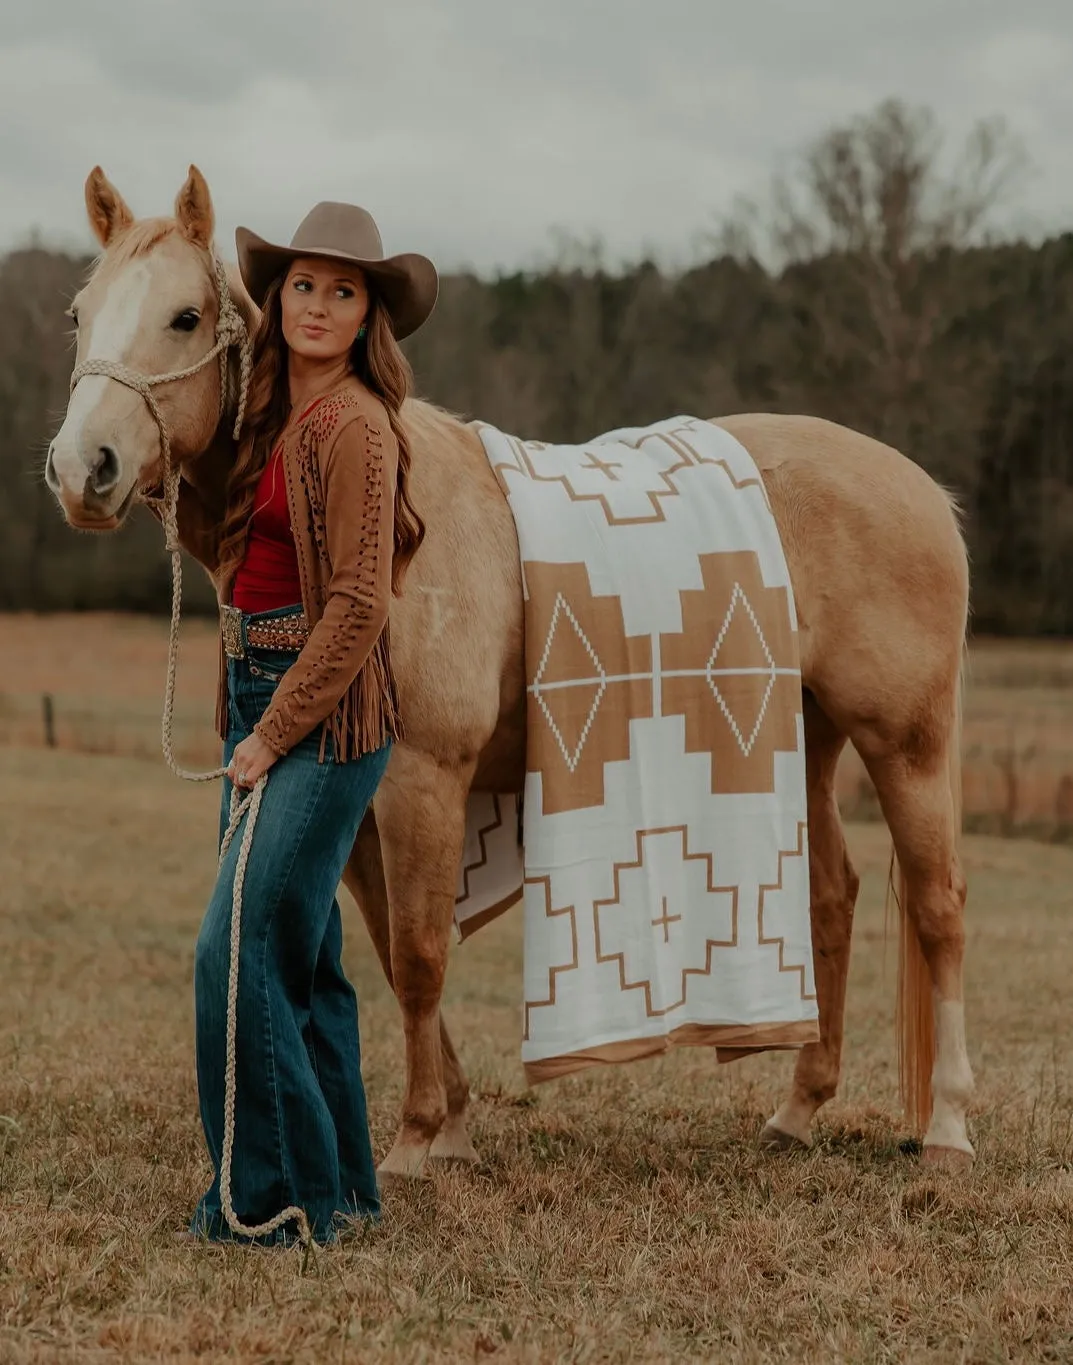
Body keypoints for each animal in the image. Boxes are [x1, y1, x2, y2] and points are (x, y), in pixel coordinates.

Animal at [46, 167, 971, 1173]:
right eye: (80, 313)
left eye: (182, 317)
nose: (81, 468)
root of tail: (921, 488)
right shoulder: (354, 800)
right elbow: (389, 948)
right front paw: (450, 1123)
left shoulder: (421, 781)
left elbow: (418, 954)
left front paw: (415, 1139)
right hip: (798, 739)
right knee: (830, 898)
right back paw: (798, 1108)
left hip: (907, 745)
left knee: (937, 908)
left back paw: (949, 1126)